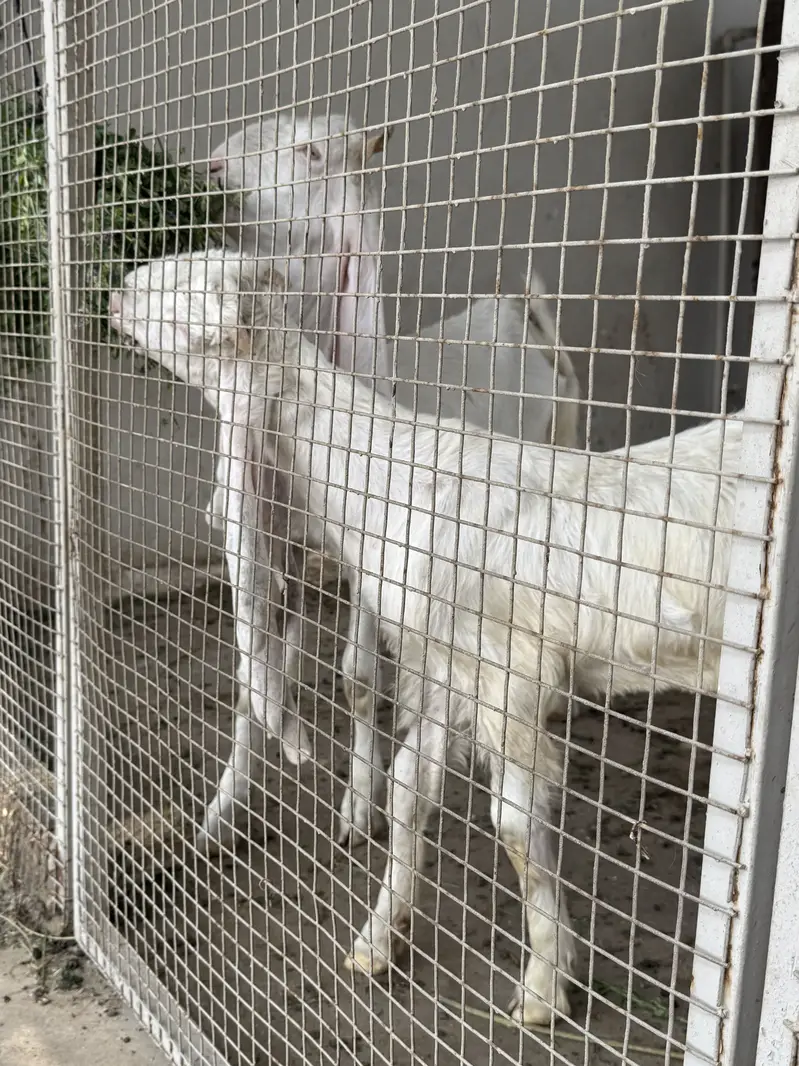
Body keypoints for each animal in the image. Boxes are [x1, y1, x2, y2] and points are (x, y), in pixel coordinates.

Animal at [110, 250, 741, 1027]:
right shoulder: (445, 667)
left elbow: (513, 824)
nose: (114, 294)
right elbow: (411, 791)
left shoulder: (509, 672)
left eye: (179, 284)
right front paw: (376, 941)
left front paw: (542, 988)